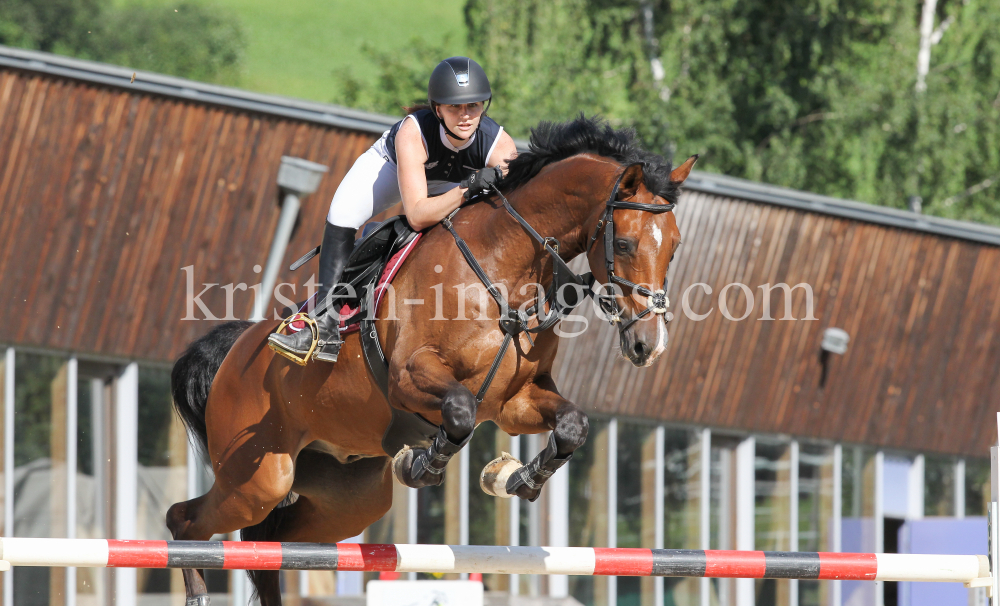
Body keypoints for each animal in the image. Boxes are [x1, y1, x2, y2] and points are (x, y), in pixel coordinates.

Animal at [168, 116, 696, 604]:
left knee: (268, 540)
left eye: (674, 248)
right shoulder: (409, 377)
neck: (503, 266)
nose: (649, 345)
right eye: (623, 244)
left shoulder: (514, 403)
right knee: (188, 521)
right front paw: (421, 465)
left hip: (347, 497)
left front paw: (514, 477)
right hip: (259, 478)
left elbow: (572, 426)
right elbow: (459, 411)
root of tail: (235, 350)